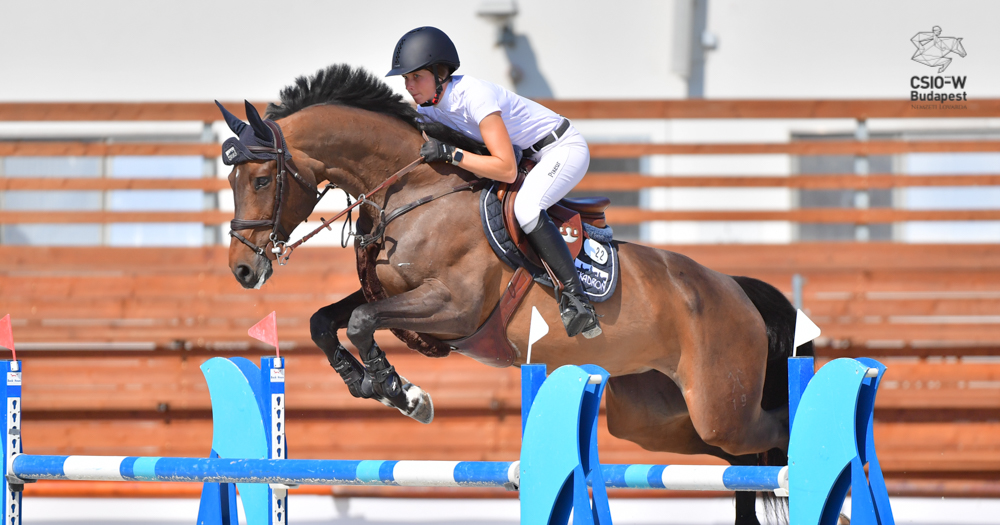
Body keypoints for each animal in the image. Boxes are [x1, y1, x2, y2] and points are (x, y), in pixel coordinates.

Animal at [225, 63, 812, 520]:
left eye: (261, 180)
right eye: (232, 180)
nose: (242, 271)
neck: (413, 190)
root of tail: (736, 291)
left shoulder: (454, 308)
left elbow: (362, 321)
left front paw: (401, 392)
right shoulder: (392, 292)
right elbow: (327, 321)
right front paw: (369, 383)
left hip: (720, 405)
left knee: (775, 433)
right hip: (653, 419)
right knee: (738, 458)